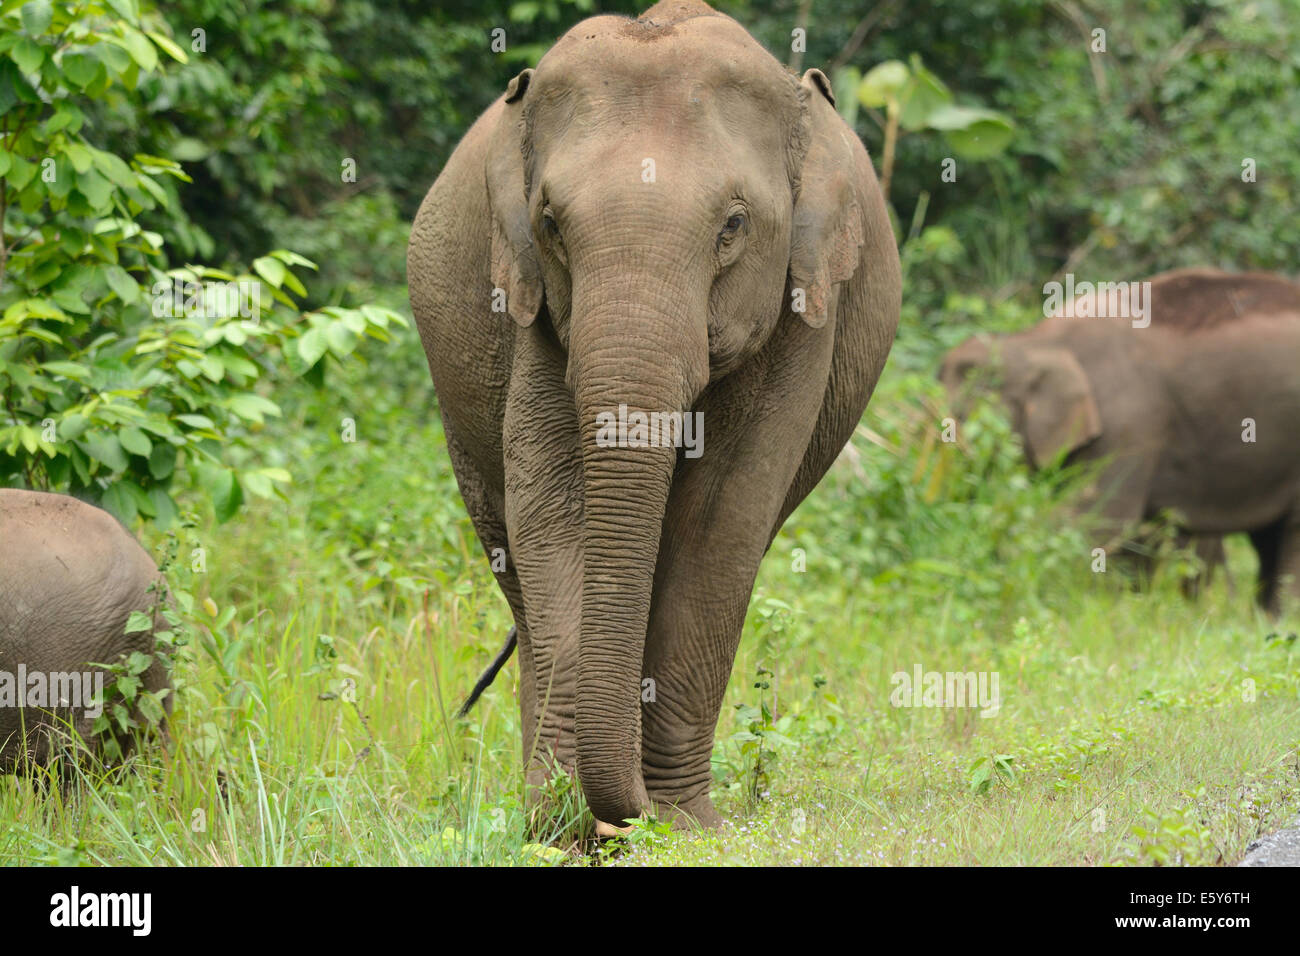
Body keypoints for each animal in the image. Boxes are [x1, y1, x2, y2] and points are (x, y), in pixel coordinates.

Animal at [403, 0, 894, 832]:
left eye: (733, 226)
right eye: (550, 224)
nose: (627, 812)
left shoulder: (803, 316)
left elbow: (724, 517)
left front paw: (680, 824)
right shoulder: (536, 312)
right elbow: (553, 502)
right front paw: (569, 829)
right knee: (512, 559)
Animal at [941, 267, 1300, 613]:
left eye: (963, 416)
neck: (1034, 341)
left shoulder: (1129, 421)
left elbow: (1098, 521)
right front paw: (1129, 610)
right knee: (1268, 537)